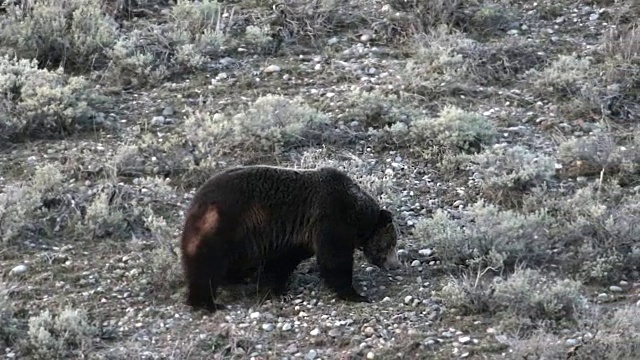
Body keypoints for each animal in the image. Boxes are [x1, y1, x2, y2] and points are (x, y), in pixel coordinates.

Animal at [179, 165, 400, 310]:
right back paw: (207, 303)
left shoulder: (297, 235)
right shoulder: (330, 219)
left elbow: (281, 262)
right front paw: (356, 294)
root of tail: (195, 204)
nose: (395, 264)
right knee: (207, 266)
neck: (357, 215)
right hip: (223, 227)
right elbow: (335, 260)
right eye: (391, 244)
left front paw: (274, 288)